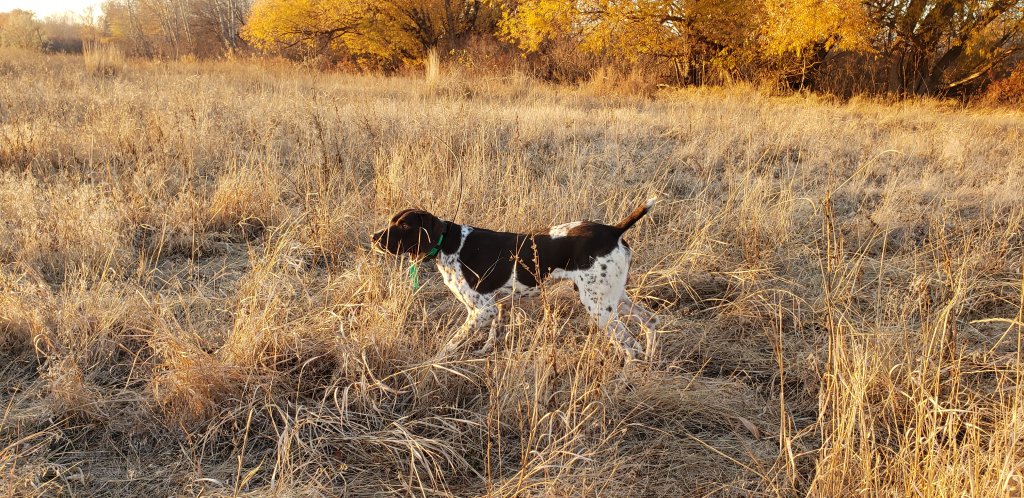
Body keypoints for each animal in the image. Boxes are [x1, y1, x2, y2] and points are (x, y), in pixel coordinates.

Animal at [372, 198, 659, 358]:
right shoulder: (500, 306)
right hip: (614, 297)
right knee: (651, 321)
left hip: (598, 306)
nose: (374, 238)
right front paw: (484, 354)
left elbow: (451, 344)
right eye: (392, 221)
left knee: (632, 347)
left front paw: (431, 363)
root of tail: (613, 231)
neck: (448, 243)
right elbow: (493, 336)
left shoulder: (481, 311)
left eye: (405, 225)